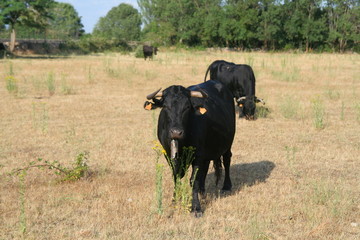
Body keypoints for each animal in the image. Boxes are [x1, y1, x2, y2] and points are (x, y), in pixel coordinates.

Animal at [143, 80, 236, 218]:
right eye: (165, 106)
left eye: (187, 107)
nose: (176, 132)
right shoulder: (169, 154)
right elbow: (176, 177)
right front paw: (174, 202)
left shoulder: (197, 155)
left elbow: (194, 180)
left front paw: (196, 208)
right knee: (206, 166)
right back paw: (203, 193)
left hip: (228, 142)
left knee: (227, 159)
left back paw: (226, 186)